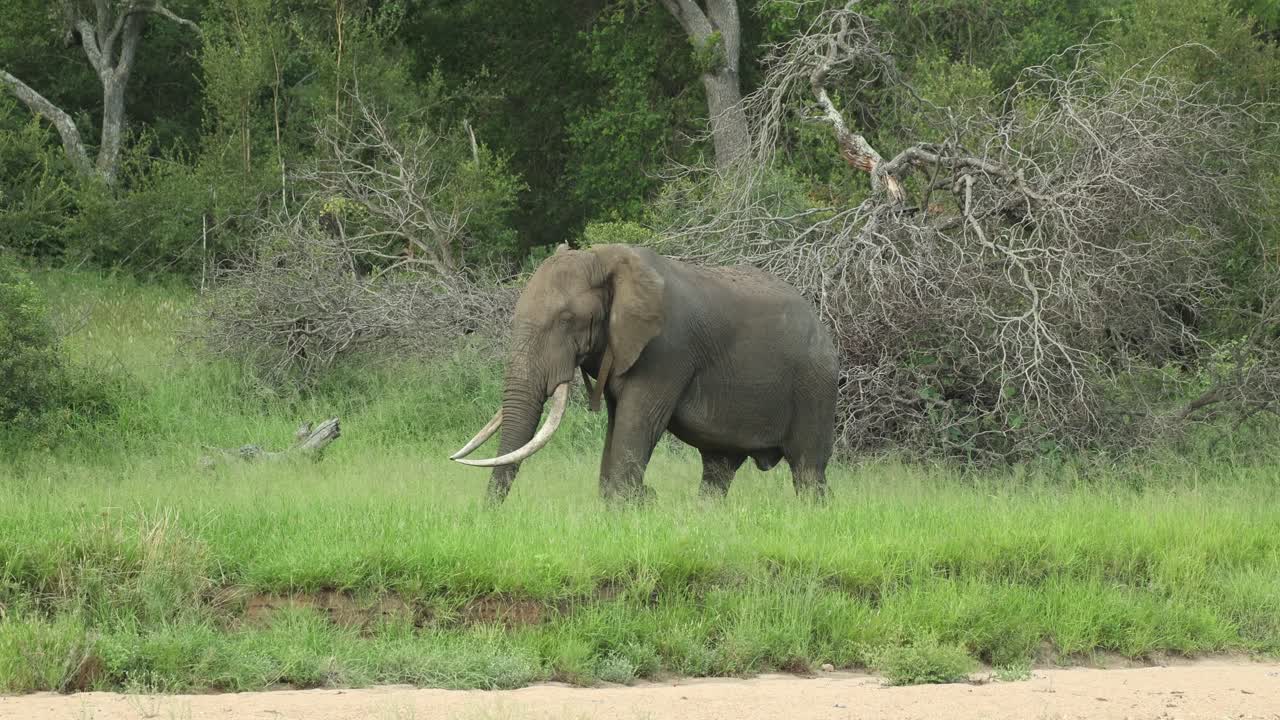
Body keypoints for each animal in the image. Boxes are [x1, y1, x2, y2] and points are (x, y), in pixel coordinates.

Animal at [449, 243, 838, 504]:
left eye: (566, 320)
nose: (489, 516)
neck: (605, 259)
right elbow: (616, 423)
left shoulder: (667, 351)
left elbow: (637, 422)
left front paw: (631, 504)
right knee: (718, 470)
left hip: (815, 385)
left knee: (808, 469)